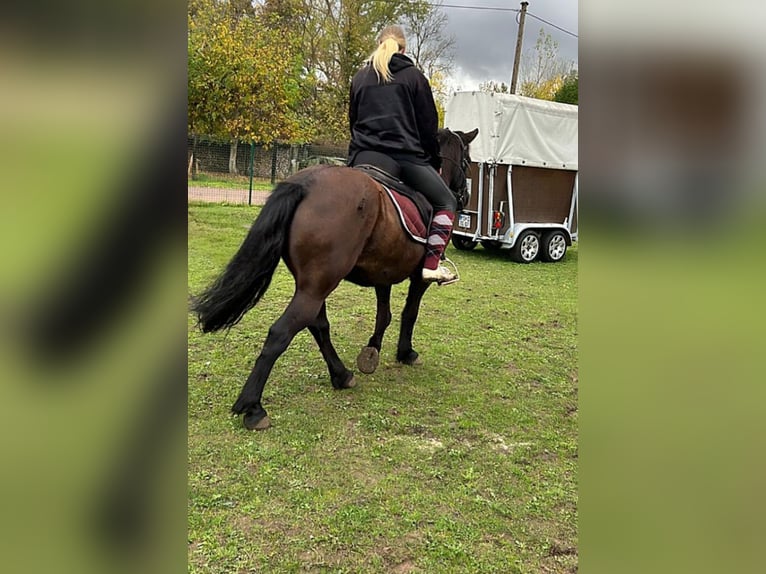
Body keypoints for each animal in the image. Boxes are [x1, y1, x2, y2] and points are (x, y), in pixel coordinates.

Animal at [194, 127, 480, 432]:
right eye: (466, 162)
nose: (464, 197)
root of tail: (306, 183)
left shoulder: (383, 272)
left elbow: (384, 314)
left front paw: (372, 351)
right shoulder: (418, 277)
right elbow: (409, 313)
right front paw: (405, 353)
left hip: (312, 286)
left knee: (318, 325)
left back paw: (341, 375)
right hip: (316, 287)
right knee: (281, 332)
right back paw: (253, 408)